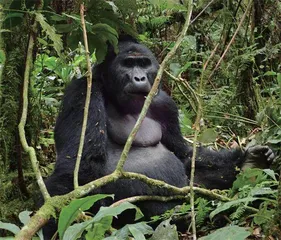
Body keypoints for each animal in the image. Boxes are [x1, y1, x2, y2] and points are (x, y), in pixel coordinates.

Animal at [42, 35, 274, 236]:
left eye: (144, 64)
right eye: (127, 64)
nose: (139, 77)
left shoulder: (165, 104)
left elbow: (184, 155)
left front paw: (248, 161)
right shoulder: (82, 93)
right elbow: (76, 169)